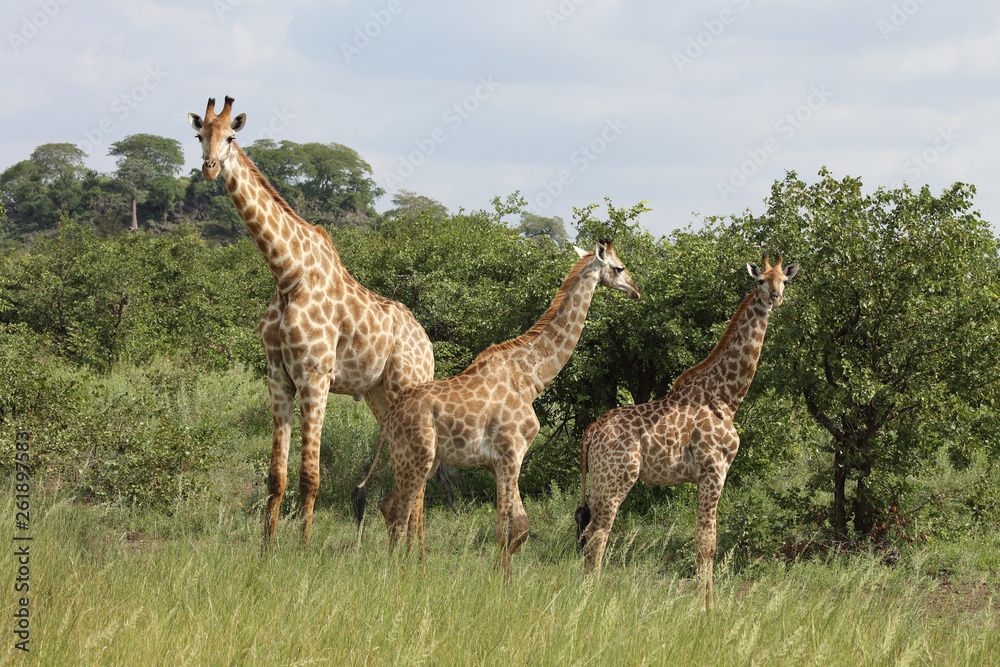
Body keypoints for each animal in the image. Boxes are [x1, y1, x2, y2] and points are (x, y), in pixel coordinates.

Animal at [188, 96, 435, 547]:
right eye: (200, 136)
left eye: (231, 136)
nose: (209, 168)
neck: (287, 273)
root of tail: (427, 344)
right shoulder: (278, 376)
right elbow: (276, 476)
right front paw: (266, 549)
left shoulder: (315, 376)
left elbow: (310, 476)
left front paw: (301, 550)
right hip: (379, 396)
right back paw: (409, 551)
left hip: (406, 386)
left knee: (420, 472)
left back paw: (415, 552)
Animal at [361, 240, 640, 578]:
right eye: (619, 268)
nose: (636, 290)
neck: (532, 377)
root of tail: (390, 417)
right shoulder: (511, 453)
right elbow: (515, 527)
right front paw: (500, 583)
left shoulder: (498, 462)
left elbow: (511, 527)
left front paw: (498, 577)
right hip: (417, 455)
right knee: (397, 511)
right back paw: (394, 576)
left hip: (423, 460)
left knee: (390, 506)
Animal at [575, 253, 798, 610]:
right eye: (761, 280)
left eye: (785, 280)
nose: (775, 297)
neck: (726, 397)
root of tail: (590, 432)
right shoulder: (713, 470)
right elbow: (707, 541)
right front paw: (705, 609)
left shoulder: (708, 474)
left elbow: (705, 541)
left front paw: (706, 604)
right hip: (617, 479)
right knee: (598, 536)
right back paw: (592, 601)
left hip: (598, 480)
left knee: (588, 533)